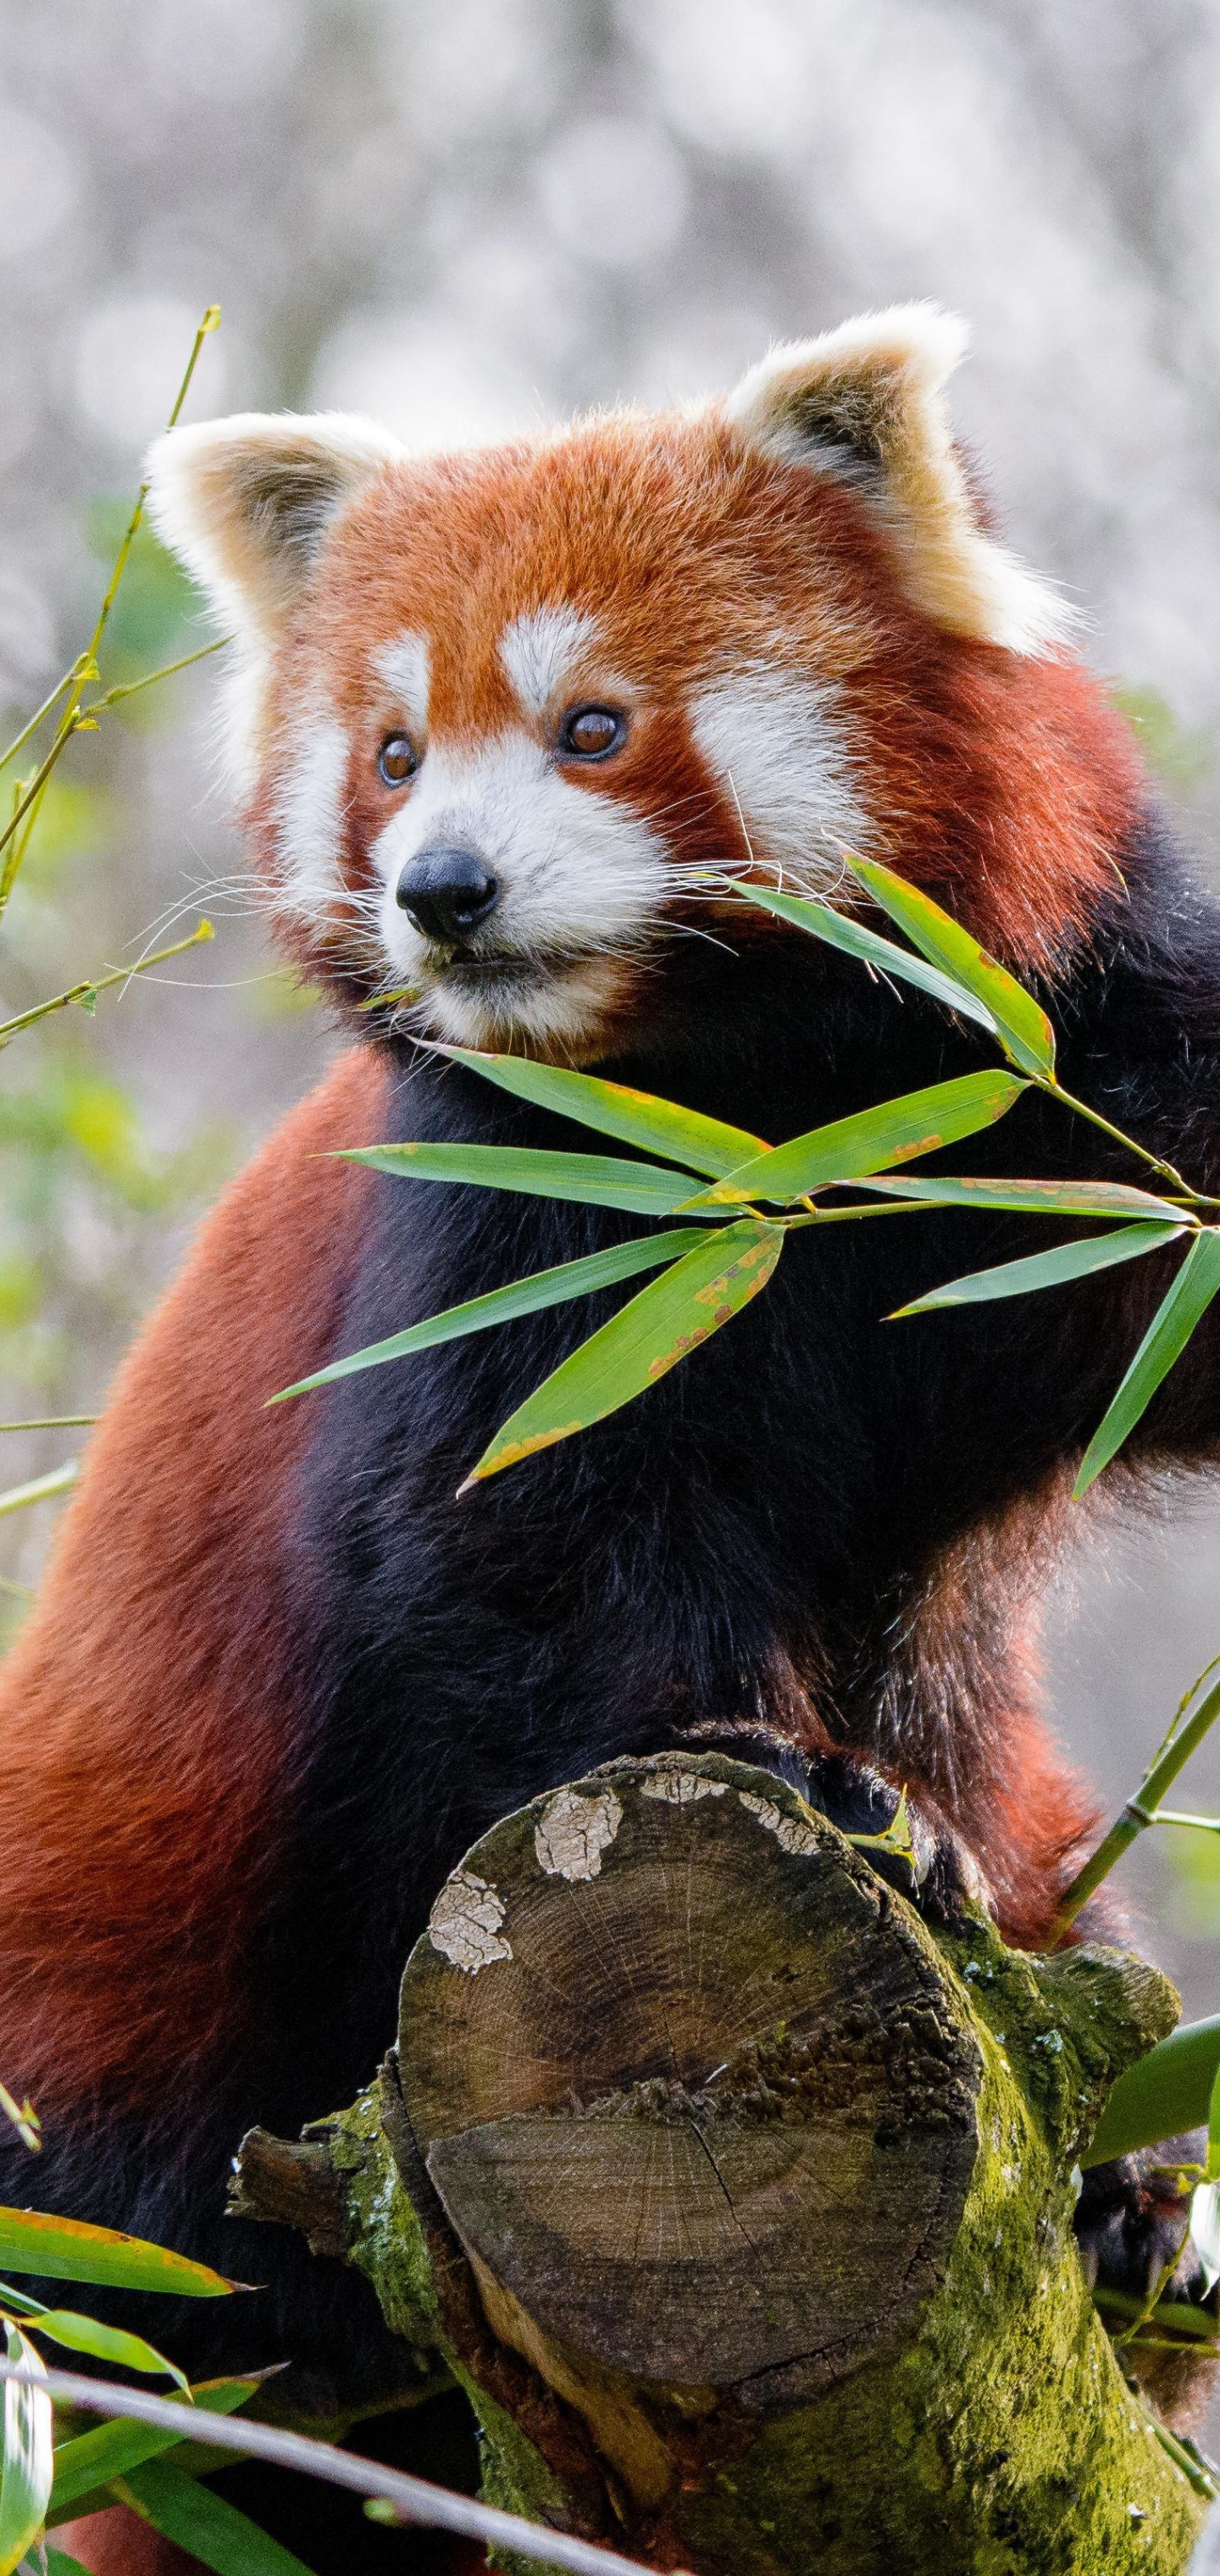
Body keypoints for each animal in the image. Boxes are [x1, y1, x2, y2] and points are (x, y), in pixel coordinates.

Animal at [9, 311, 1220, 2565]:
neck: (760, 1123)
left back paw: (1131, 2194)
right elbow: (520, 1569)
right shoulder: (514, 1221)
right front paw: (791, 1777)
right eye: (393, 752)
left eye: (591, 727)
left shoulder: (1068, 1098)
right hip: (110, 1982)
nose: (444, 890)